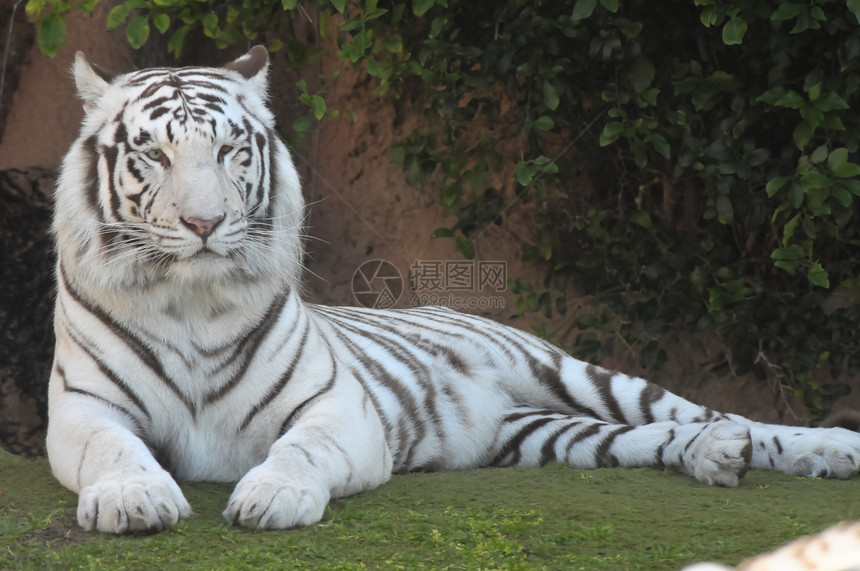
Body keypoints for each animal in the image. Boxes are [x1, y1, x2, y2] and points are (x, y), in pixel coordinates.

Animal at [50, 47, 860, 536]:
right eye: (155, 155)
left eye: (230, 150)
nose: (205, 222)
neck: (191, 301)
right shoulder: (85, 408)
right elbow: (114, 449)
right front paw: (133, 498)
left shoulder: (335, 406)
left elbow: (302, 450)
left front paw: (272, 495)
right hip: (537, 435)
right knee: (642, 438)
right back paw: (714, 458)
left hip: (569, 371)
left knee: (711, 412)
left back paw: (820, 448)